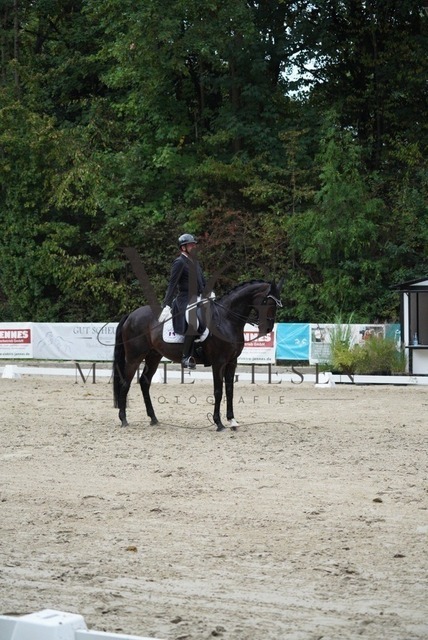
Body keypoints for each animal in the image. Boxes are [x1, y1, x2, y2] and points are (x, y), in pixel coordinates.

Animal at [112, 279, 283, 431]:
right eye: (268, 301)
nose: (268, 329)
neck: (226, 320)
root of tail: (131, 315)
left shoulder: (232, 362)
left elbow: (229, 390)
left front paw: (232, 421)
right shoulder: (218, 362)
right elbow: (218, 391)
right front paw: (219, 423)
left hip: (153, 356)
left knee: (144, 382)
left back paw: (154, 419)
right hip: (134, 357)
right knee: (125, 383)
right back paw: (124, 420)